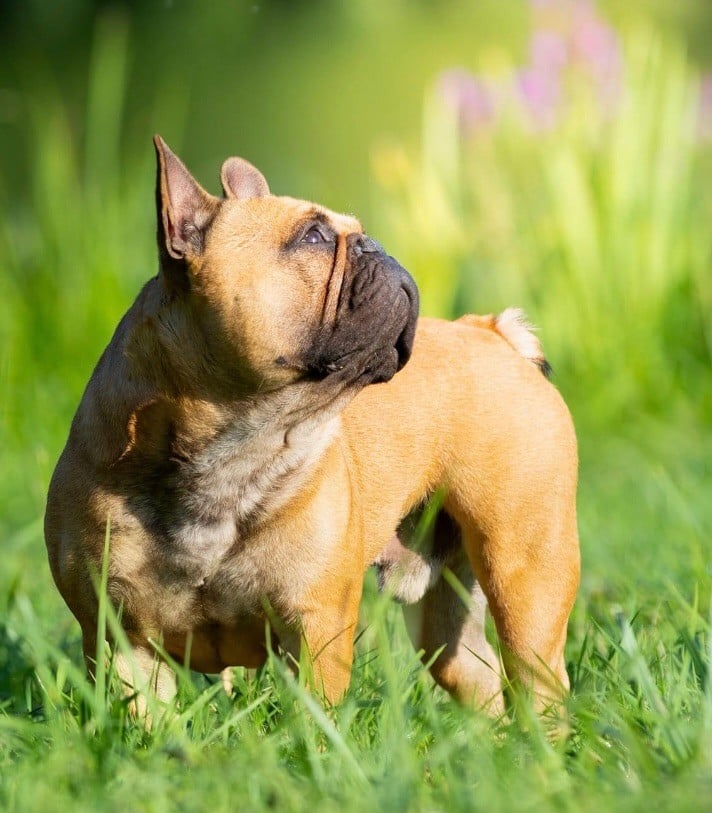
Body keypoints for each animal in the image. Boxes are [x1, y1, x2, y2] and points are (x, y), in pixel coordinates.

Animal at [43, 136, 580, 712]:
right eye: (314, 237)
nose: (373, 245)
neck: (236, 446)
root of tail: (491, 333)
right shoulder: (122, 640)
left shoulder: (316, 625)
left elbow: (315, 713)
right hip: (447, 616)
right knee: (474, 675)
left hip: (526, 573)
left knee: (538, 675)